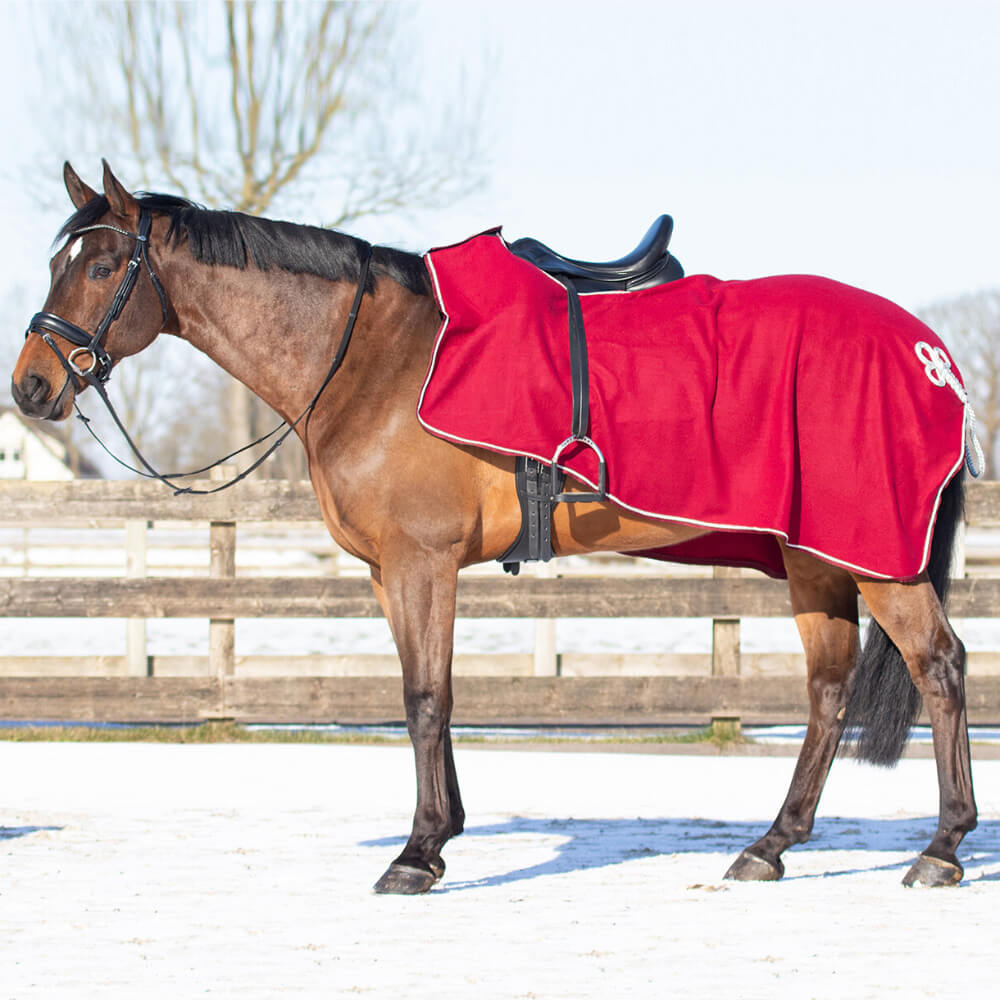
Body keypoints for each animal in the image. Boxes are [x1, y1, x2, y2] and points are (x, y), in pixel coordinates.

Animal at [11, 161, 977, 895]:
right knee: (828, 692)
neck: (374, 358)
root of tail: (932, 354)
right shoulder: (391, 574)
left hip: (876, 557)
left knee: (938, 666)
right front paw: (442, 836)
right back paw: (770, 846)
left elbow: (425, 700)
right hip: (815, 556)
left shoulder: (421, 564)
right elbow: (430, 696)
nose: (30, 385)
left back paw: (941, 848)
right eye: (58, 260)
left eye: (101, 266)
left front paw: (416, 853)